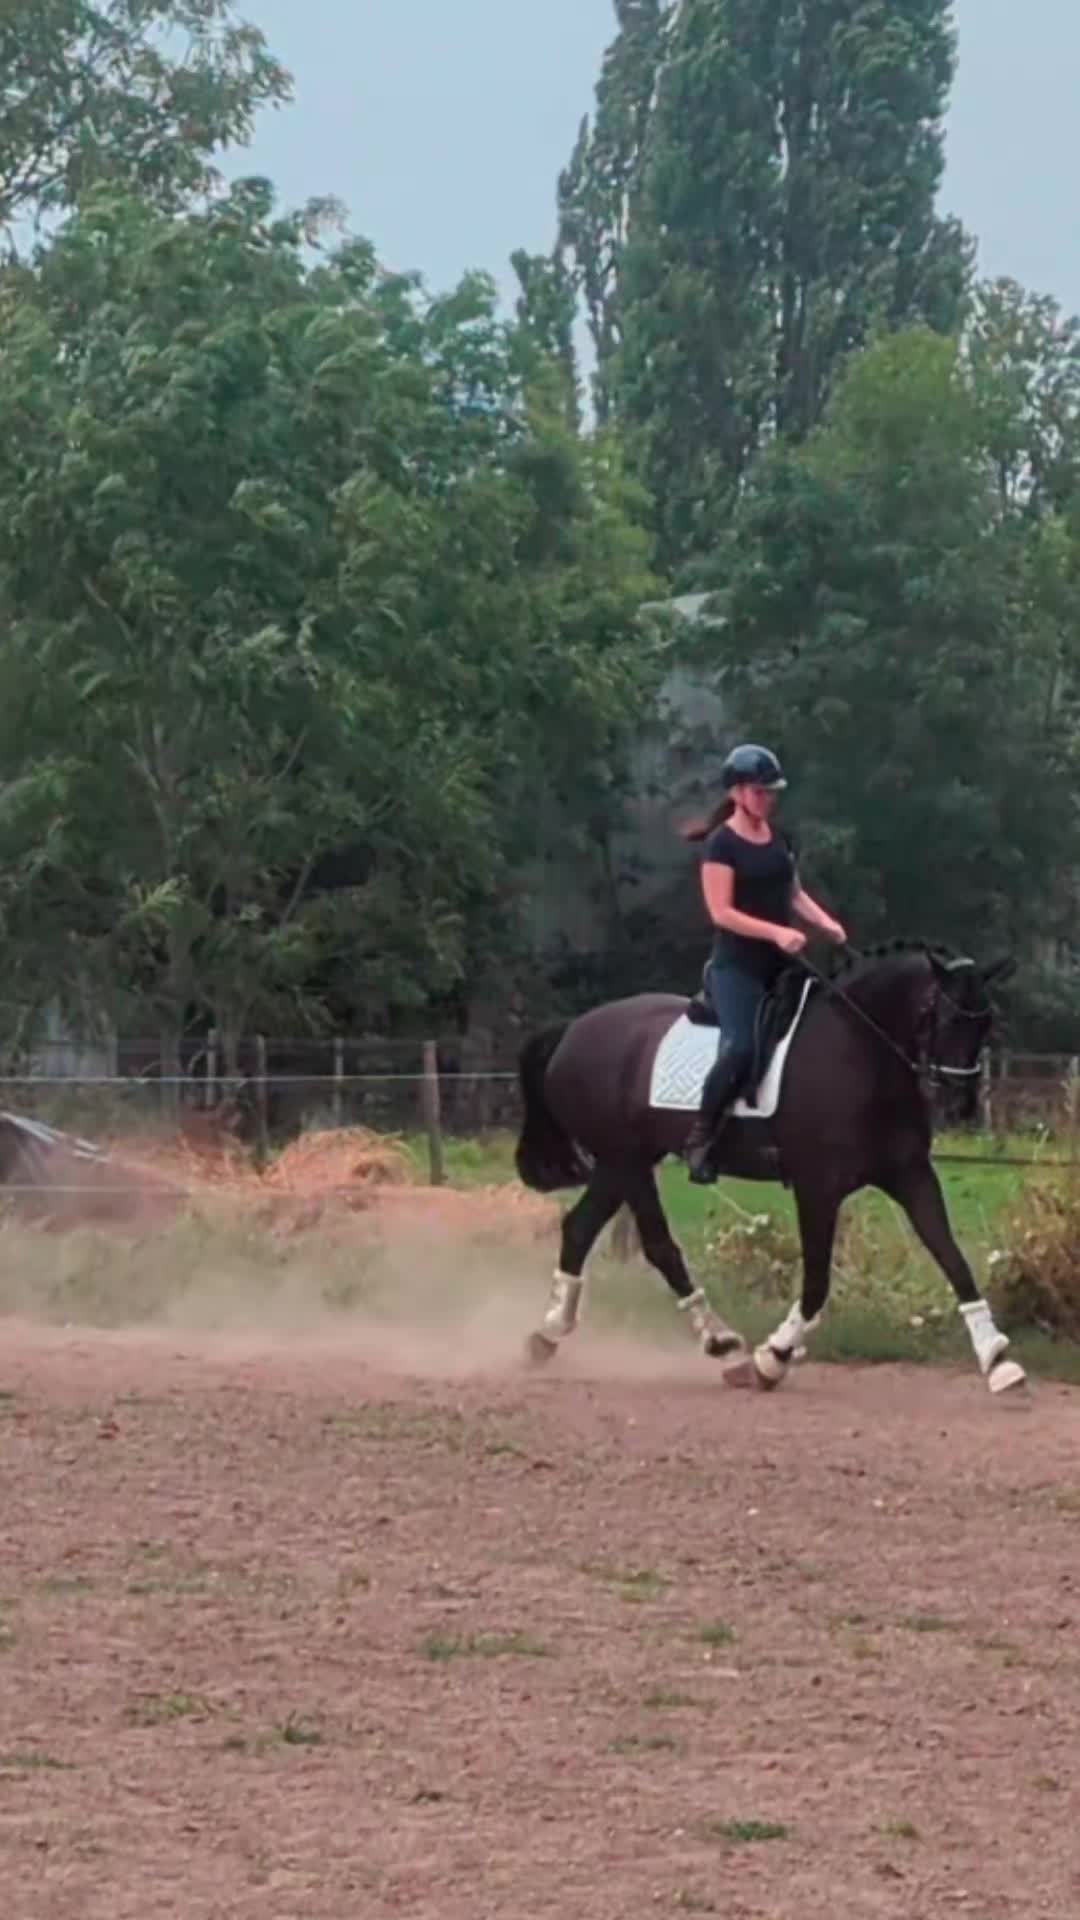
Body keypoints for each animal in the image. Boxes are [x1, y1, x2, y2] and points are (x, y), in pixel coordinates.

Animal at [513, 942, 1025, 1398]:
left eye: (987, 1022)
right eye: (947, 1017)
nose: (960, 1104)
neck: (858, 1053)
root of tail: (573, 1029)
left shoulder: (911, 1175)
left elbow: (954, 1261)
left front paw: (998, 1360)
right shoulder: (818, 1188)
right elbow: (817, 1283)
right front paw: (772, 1359)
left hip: (623, 1164)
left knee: (592, 1231)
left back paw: (555, 1335)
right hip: (626, 1161)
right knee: (645, 1242)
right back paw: (713, 1342)